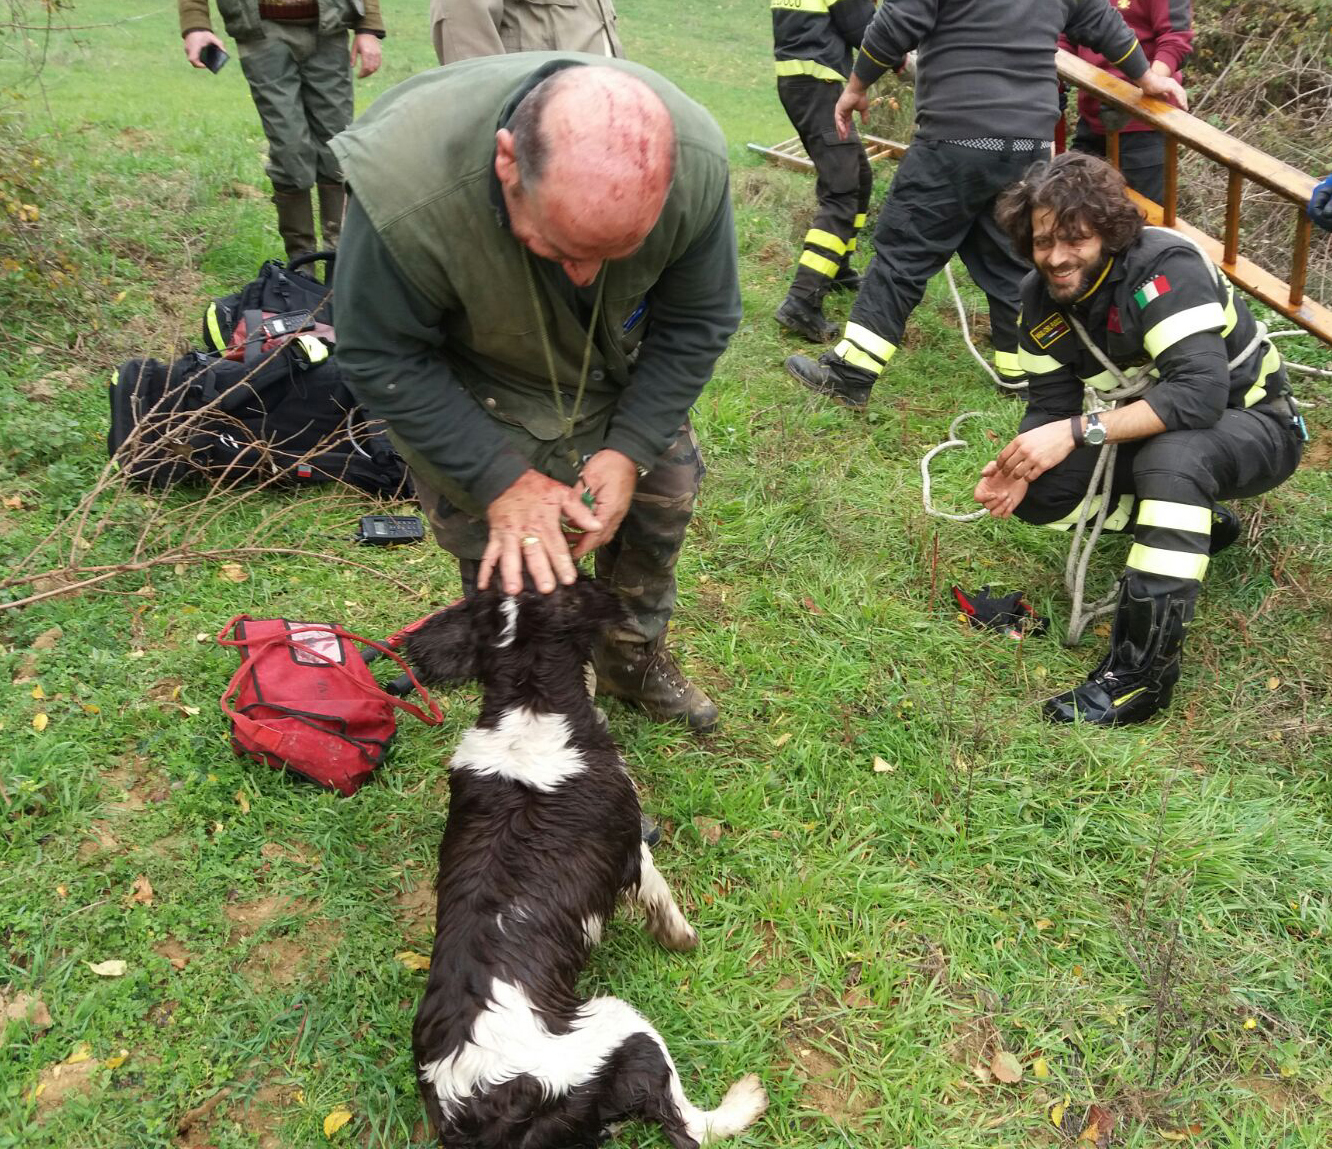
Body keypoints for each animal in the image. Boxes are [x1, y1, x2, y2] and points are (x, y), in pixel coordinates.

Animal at [399, 583, 767, 1149]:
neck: (527, 702)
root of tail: (488, 1108)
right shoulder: (629, 841)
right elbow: (660, 893)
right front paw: (680, 936)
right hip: (620, 1026)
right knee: (687, 1122)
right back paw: (745, 1098)